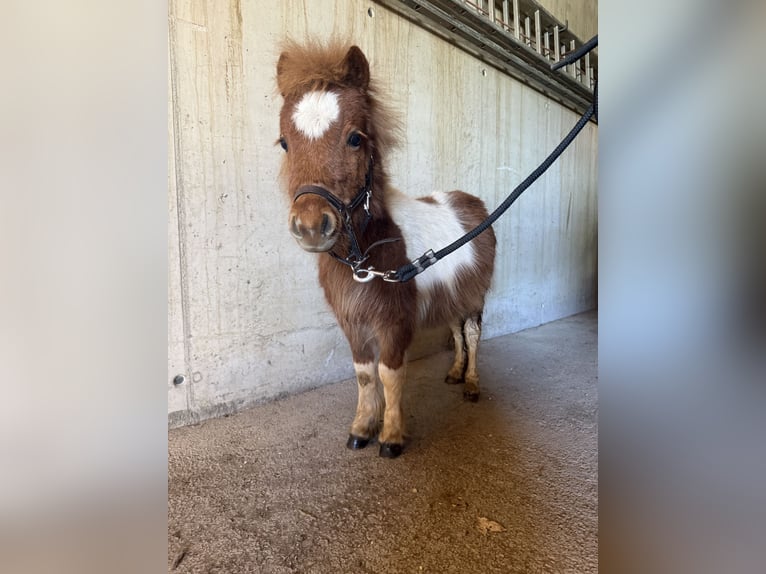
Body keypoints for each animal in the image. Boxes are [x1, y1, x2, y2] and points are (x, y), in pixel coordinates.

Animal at [275, 41, 496, 458]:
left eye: (355, 138)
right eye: (284, 142)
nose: (311, 227)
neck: (364, 258)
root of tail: (473, 203)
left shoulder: (394, 322)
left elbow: (389, 374)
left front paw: (391, 437)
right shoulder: (354, 323)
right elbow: (364, 375)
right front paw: (362, 428)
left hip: (476, 294)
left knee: (473, 333)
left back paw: (473, 383)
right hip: (453, 293)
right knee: (456, 329)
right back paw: (455, 373)